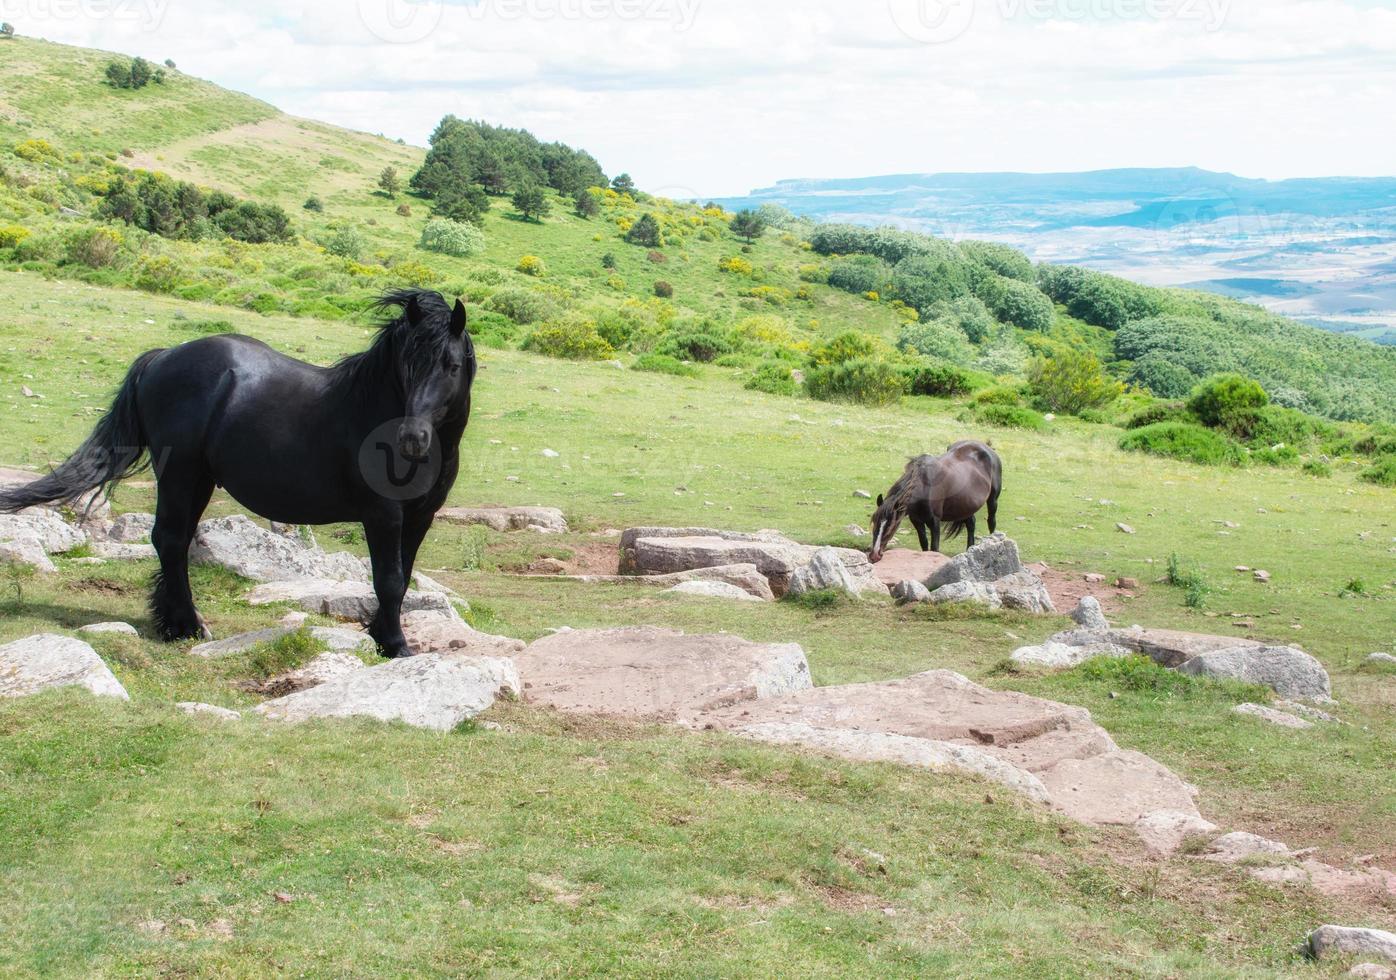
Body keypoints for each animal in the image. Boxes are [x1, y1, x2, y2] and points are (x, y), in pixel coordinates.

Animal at [0, 291, 474, 658]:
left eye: (451, 366)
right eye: (407, 366)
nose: (412, 438)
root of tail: (162, 358)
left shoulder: (419, 516)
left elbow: (403, 577)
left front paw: (380, 635)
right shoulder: (383, 514)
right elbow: (389, 580)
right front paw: (395, 645)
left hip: (199, 480)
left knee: (176, 541)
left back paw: (175, 622)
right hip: (179, 474)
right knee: (169, 539)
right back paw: (187, 627)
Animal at [865, 443, 999, 563]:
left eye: (891, 525)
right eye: (874, 523)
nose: (874, 555)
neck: (924, 487)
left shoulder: (934, 522)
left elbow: (934, 548)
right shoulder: (916, 520)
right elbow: (924, 544)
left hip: (992, 500)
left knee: (991, 522)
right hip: (966, 506)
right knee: (971, 524)